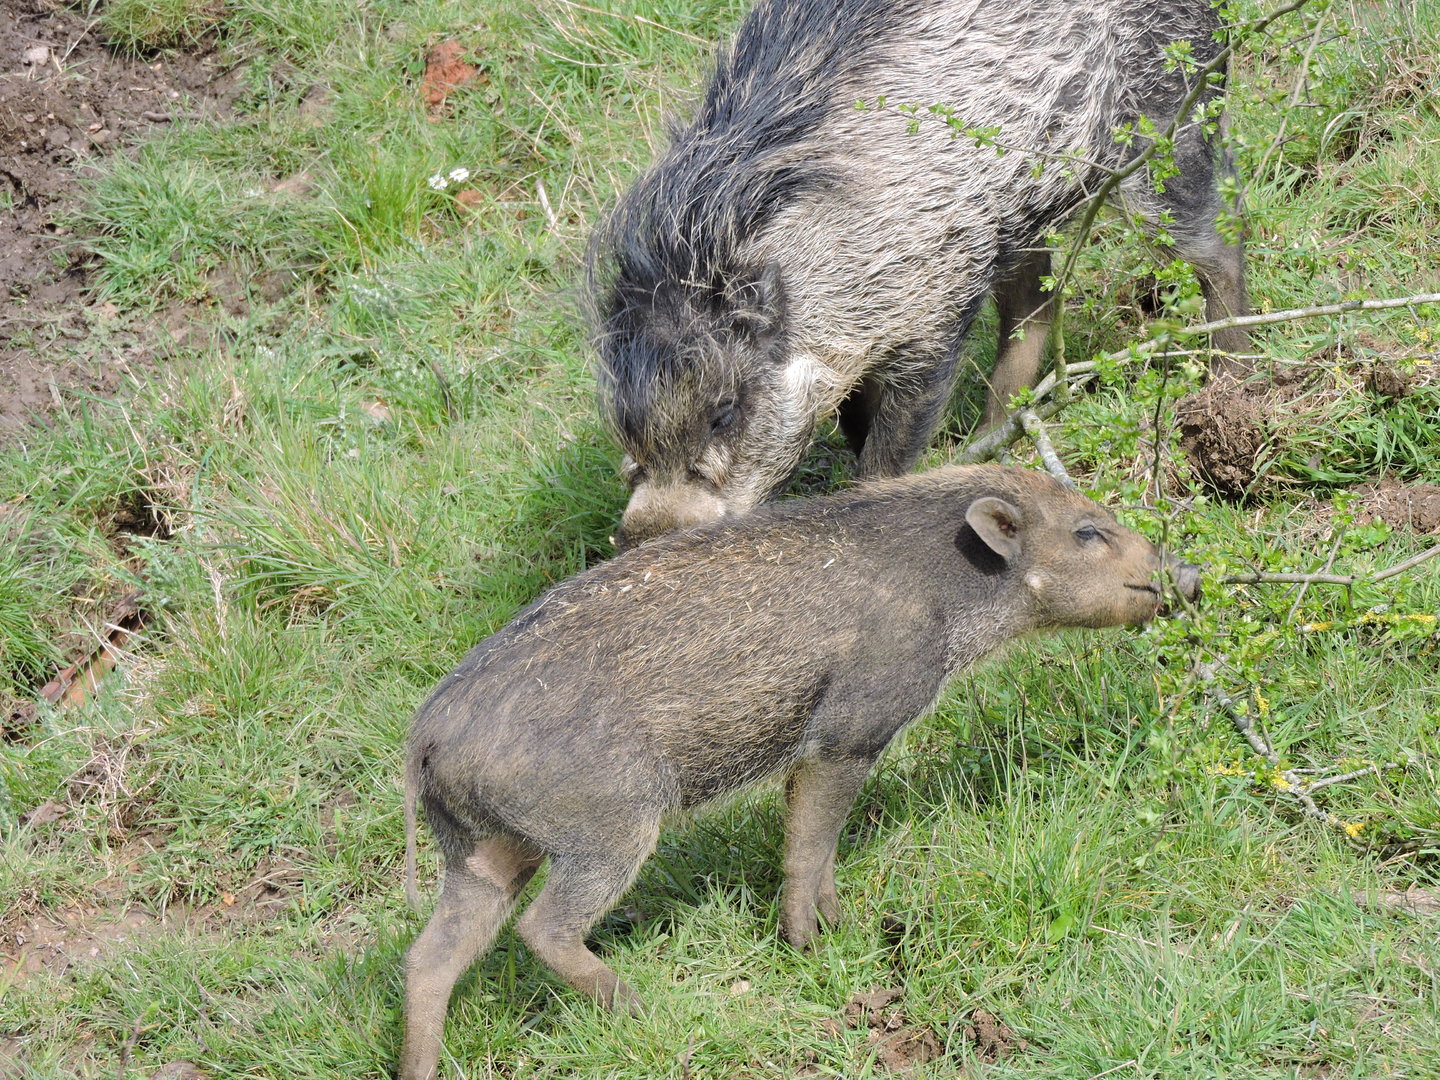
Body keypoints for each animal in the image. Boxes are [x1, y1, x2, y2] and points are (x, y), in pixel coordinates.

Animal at [399, 464, 1199, 1079]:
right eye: (1088, 531)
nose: (1186, 574)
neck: (955, 593)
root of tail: (425, 739)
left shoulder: (808, 753)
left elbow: (813, 844)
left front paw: (839, 930)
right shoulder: (849, 732)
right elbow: (810, 846)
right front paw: (811, 945)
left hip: (486, 851)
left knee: (429, 957)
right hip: (609, 826)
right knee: (542, 928)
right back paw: (645, 1009)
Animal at [589, 0, 1249, 550]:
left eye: (723, 411)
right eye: (625, 427)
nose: (643, 533)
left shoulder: (933, 310)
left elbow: (889, 449)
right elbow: (856, 423)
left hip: (1167, 127)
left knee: (1222, 241)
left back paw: (1227, 385)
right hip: (1021, 218)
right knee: (1031, 306)